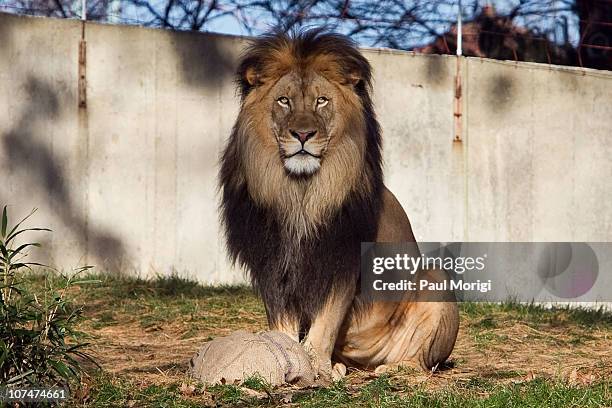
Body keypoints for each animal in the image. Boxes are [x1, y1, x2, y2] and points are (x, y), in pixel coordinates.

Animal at [220, 28, 460, 382]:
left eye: (322, 100)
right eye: (284, 100)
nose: (303, 134)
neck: (301, 192)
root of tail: (368, 359)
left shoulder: (341, 261)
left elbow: (326, 323)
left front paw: (316, 368)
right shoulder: (272, 263)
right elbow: (282, 322)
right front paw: (290, 358)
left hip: (435, 277)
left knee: (425, 363)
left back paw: (392, 369)